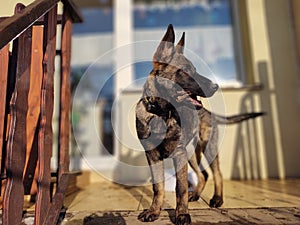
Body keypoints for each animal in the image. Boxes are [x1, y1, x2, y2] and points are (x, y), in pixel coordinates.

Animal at [136, 24, 218, 225]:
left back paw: (217, 199)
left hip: (206, 148)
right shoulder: (152, 156)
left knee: (216, 173)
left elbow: (180, 188)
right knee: (203, 175)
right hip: (191, 154)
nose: (216, 86)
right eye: (187, 70)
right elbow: (158, 186)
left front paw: (181, 214)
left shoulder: (179, 154)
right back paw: (196, 195)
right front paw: (154, 211)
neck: (161, 113)